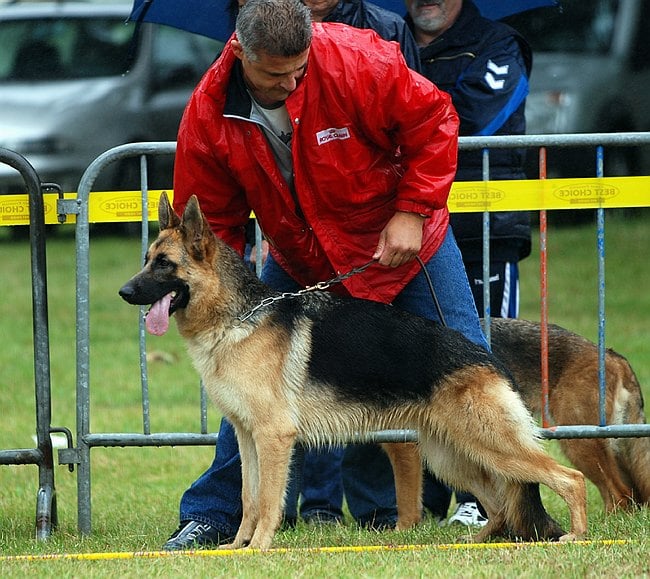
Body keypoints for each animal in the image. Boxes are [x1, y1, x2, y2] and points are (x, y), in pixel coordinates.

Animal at [117, 194, 588, 548]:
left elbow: (268, 501)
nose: (123, 292)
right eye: (147, 259)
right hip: (452, 455)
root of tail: (487, 357)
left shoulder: (274, 438)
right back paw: (474, 541)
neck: (238, 317)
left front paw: (259, 548)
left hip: (488, 445)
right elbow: (249, 499)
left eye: (164, 264)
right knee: (501, 500)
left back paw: (577, 536)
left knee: (569, 478)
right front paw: (235, 548)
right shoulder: (248, 437)